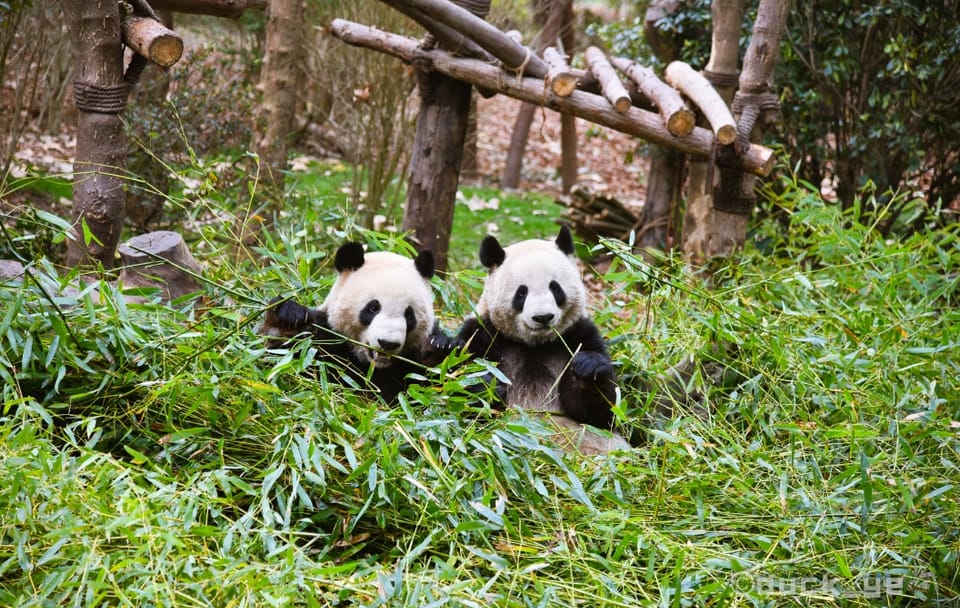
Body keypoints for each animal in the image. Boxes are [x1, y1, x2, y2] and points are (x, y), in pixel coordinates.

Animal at [261, 241, 446, 403]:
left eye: (409, 315)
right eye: (373, 308)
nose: (388, 343)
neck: (372, 365)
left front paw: (437, 347)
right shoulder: (327, 340)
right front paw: (289, 317)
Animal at [447, 225, 631, 455]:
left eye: (555, 288)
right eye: (521, 292)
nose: (543, 317)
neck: (534, 344)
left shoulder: (579, 334)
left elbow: (604, 416)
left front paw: (589, 369)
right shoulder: (482, 334)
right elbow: (461, 395)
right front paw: (488, 386)